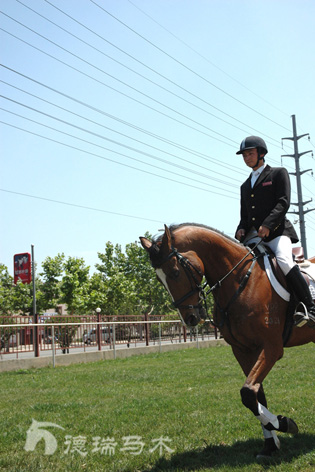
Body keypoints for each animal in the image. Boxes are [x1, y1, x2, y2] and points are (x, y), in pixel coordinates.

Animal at [141, 223, 315, 460]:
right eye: (159, 279)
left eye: (175, 273)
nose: (190, 319)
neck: (241, 280)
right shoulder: (242, 350)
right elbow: (255, 395)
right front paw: (271, 442)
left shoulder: (271, 348)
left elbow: (248, 393)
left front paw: (285, 424)